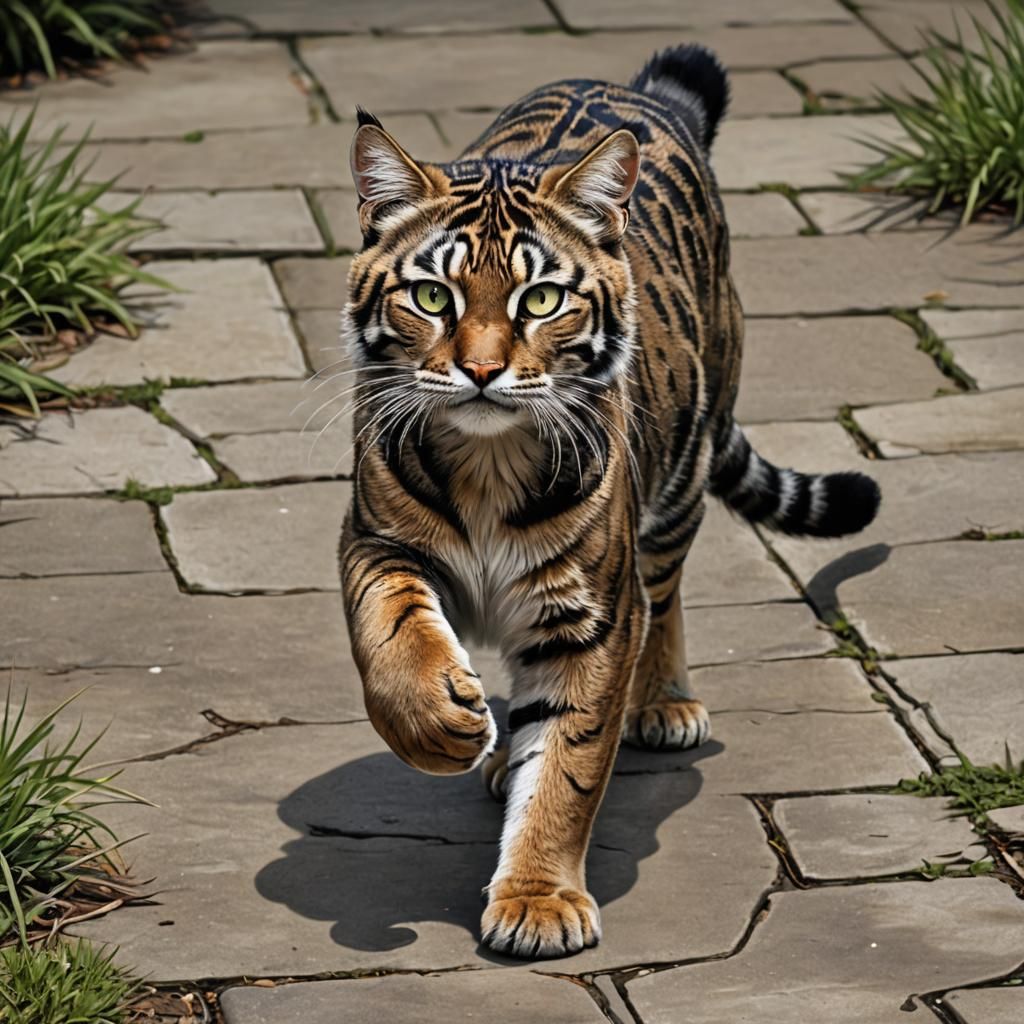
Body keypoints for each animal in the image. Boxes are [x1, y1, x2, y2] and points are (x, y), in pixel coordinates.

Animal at [337, 43, 880, 959]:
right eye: (434, 297)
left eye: (541, 300)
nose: (480, 370)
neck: (487, 458)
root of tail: (636, 88)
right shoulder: (376, 539)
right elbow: (391, 631)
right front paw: (437, 726)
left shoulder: (592, 612)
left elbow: (570, 759)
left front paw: (537, 903)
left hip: (678, 489)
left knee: (666, 599)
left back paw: (660, 706)